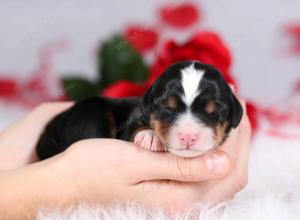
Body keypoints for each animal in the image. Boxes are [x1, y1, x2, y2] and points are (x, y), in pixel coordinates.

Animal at [36, 61, 243, 159]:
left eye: (213, 112)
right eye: (167, 108)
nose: (188, 137)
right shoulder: (131, 123)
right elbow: (135, 129)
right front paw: (150, 137)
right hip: (92, 111)